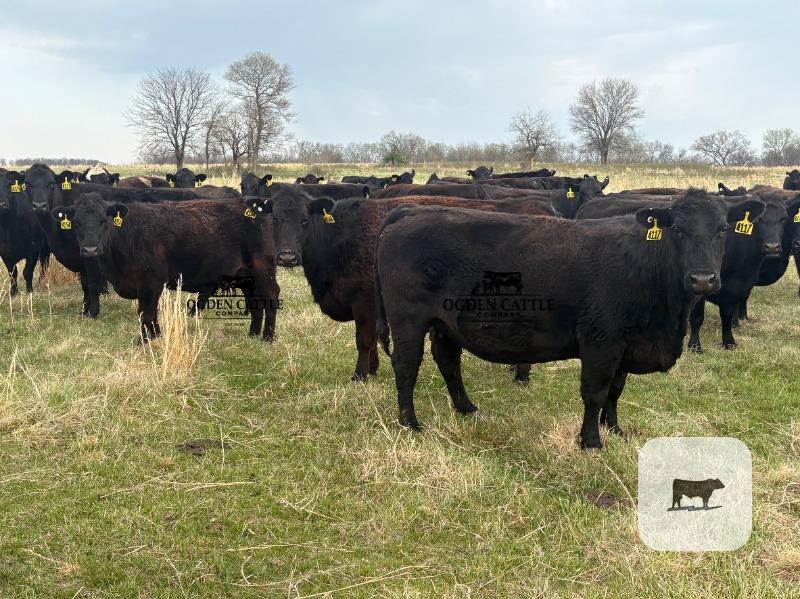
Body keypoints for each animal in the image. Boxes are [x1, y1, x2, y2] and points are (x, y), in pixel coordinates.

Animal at [52, 193, 278, 343]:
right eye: (77, 222)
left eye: (103, 220)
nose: (90, 249)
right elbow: (151, 314)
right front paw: (156, 337)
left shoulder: (151, 283)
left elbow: (146, 313)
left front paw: (145, 341)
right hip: (248, 278)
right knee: (256, 303)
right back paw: (253, 334)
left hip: (263, 272)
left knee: (270, 298)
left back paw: (267, 337)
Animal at [251, 186, 555, 381]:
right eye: (275, 219)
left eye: (305, 219)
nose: (287, 256)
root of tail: (542, 207)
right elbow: (374, 339)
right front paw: (373, 369)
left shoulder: (364, 300)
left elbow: (364, 340)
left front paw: (359, 376)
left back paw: (522, 375)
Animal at [374, 191, 745, 447]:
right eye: (677, 229)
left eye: (723, 229)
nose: (702, 279)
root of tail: (410, 210)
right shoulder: (600, 340)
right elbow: (595, 391)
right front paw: (590, 441)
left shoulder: (626, 344)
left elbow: (616, 390)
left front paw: (615, 429)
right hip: (408, 320)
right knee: (406, 368)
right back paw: (410, 424)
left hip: (445, 324)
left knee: (448, 361)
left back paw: (467, 408)